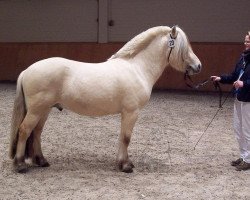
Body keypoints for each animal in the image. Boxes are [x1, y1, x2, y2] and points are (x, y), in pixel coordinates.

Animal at [9, 25, 201, 173]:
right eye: (184, 47)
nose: (198, 66)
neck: (136, 68)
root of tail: (26, 71)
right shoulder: (131, 112)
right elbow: (126, 138)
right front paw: (126, 166)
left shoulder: (127, 113)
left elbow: (122, 137)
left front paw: (123, 163)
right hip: (36, 110)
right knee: (24, 130)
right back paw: (20, 165)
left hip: (44, 110)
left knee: (36, 132)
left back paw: (41, 161)